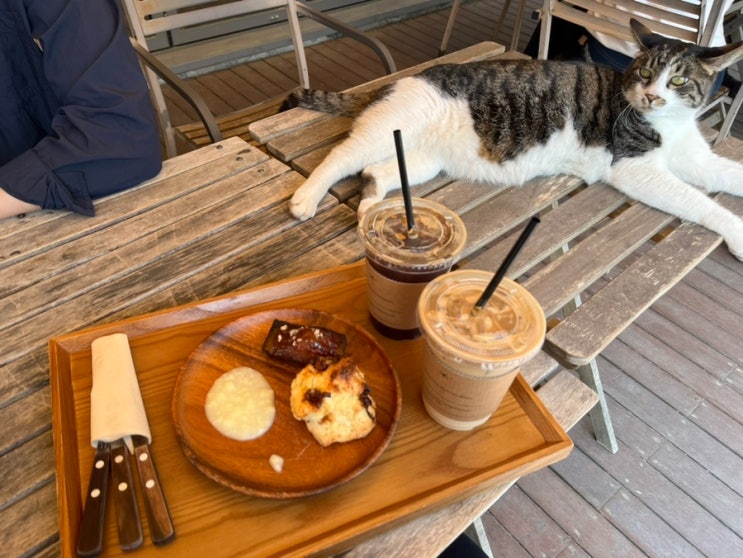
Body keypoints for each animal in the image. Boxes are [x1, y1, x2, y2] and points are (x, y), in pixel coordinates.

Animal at [284, 18, 743, 262]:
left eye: (678, 80)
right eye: (645, 73)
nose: (651, 96)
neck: (669, 123)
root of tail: (396, 82)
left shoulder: (697, 159)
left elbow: (727, 173)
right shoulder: (633, 167)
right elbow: (697, 200)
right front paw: (737, 233)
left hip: (423, 160)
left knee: (374, 172)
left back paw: (369, 208)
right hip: (388, 130)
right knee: (339, 157)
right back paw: (305, 200)